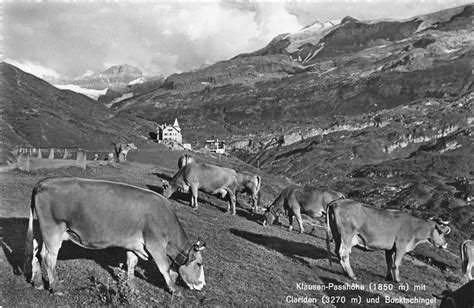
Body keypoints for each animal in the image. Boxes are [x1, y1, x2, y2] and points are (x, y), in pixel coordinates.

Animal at [24, 176, 206, 294]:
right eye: (199, 264)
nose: (203, 285)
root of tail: (44, 182)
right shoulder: (155, 244)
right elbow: (165, 268)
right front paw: (174, 290)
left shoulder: (134, 245)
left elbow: (131, 264)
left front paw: (132, 288)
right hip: (53, 229)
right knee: (49, 258)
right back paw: (56, 287)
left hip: (45, 231)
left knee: (36, 251)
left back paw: (38, 282)